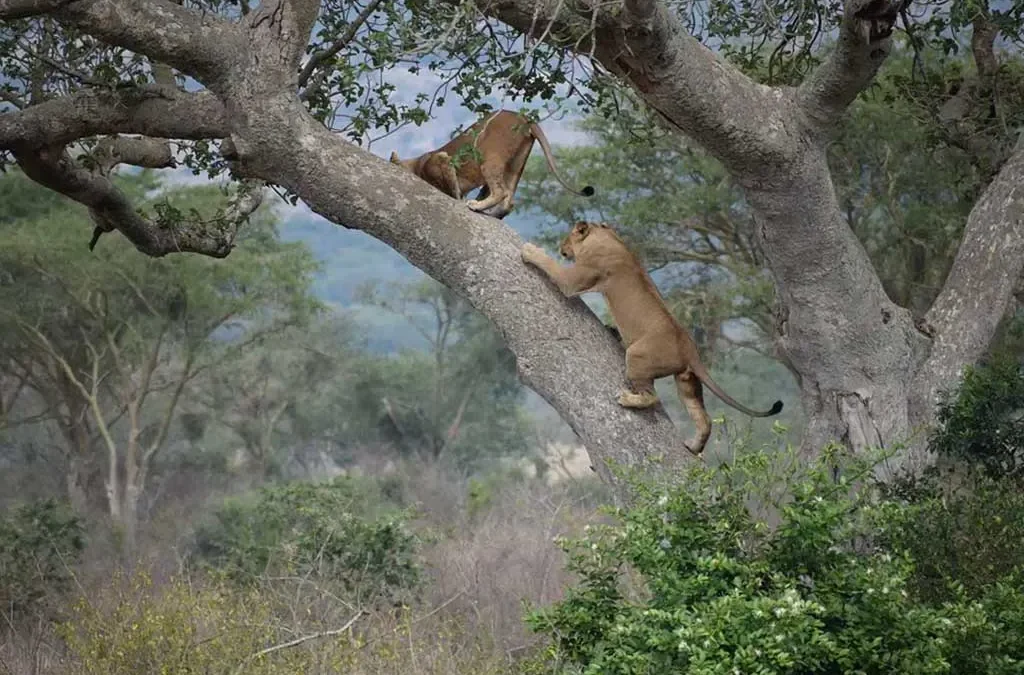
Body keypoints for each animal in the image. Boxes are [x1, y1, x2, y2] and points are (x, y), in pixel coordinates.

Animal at [389, 110, 595, 219]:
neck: (417, 163)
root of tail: (523, 117)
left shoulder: (442, 159)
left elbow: (452, 187)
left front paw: (459, 198)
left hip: (489, 156)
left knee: (501, 191)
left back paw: (477, 206)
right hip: (516, 164)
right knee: (508, 199)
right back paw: (493, 213)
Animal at [521, 220, 783, 457]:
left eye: (567, 238)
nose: (561, 248)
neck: (607, 237)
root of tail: (690, 349)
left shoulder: (576, 279)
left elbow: (552, 267)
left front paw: (530, 251)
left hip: (637, 356)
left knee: (652, 397)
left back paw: (627, 398)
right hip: (687, 382)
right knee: (704, 419)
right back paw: (693, 447)